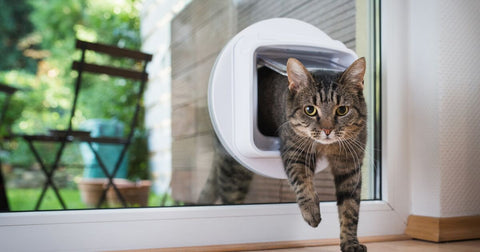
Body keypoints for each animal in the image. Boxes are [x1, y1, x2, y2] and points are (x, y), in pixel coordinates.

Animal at [199, 57, 368, 252]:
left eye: (342, 110)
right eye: (310, 109)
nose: (327, 130)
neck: (326, 147)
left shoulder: (350, 166)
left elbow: (350, 208)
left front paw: (350, 242)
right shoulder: (295, 152)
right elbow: (302, 182)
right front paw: (311, 211)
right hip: (233, 173)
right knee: (230, 197)